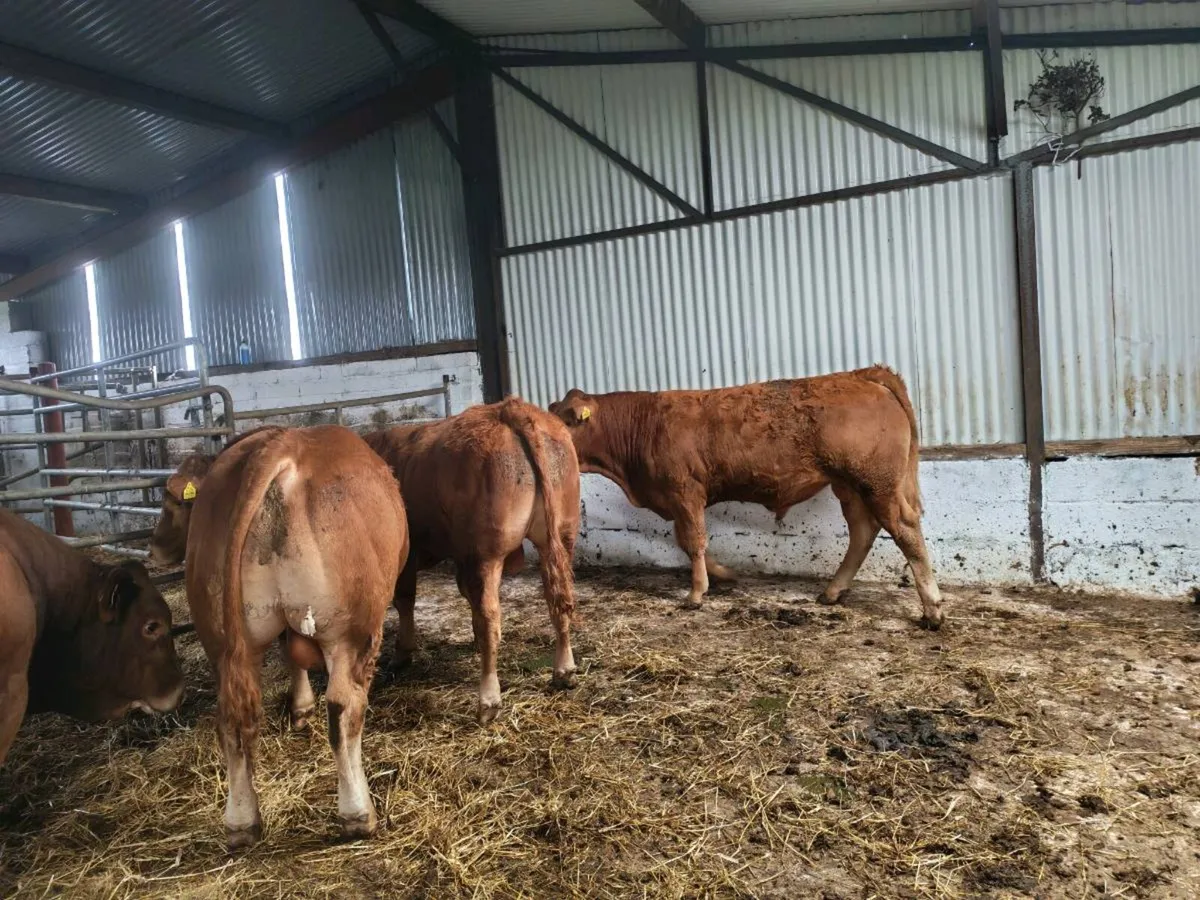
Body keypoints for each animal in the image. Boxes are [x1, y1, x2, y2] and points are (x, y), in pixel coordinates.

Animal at [149, 425, 409, 847]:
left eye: (174, 500)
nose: (153, 549)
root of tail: (278, 446)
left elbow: (290, 651)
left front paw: (299, 708)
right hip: (351, 632)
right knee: (343, 710)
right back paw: (357, 814)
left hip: (223, 636)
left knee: (233, 715)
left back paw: (241, 822)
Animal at [364, 397, 580, 725]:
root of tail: (510, 408)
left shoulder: (409, 557)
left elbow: (405, 601)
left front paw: (402, 653)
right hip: (559, 536)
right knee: (559, 598)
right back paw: (564, 670)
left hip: (486, 553)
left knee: (491, 616)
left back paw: (488, 700)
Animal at [548, 366, 944, 629]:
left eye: (567, 421)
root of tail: (863, 374)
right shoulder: (679, 500)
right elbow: (687, 542)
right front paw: (724, 574)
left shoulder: (685, 492)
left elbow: (693, 541)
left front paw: (696, 594)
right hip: (848, 485)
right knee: (863, 530)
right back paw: (833, 591)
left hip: (877, 483)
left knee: (905, 529)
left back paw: (932, 609)